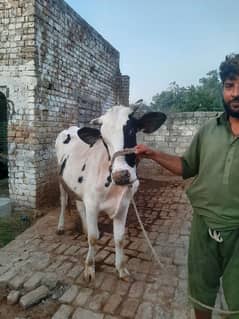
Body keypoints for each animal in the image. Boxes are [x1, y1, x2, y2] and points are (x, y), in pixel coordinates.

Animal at [55, 104, 166, 282]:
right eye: (104, 140)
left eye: (131, 131)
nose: (121, 175)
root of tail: (71, 128)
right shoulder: (92, 204)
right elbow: (93, 238)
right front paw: (89, 268)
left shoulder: (124, 205)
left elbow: (119, 238)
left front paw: (121, 269)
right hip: (61, 179)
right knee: (64, 201)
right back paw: (61, 226)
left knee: (79, 205)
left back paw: (84, 228)